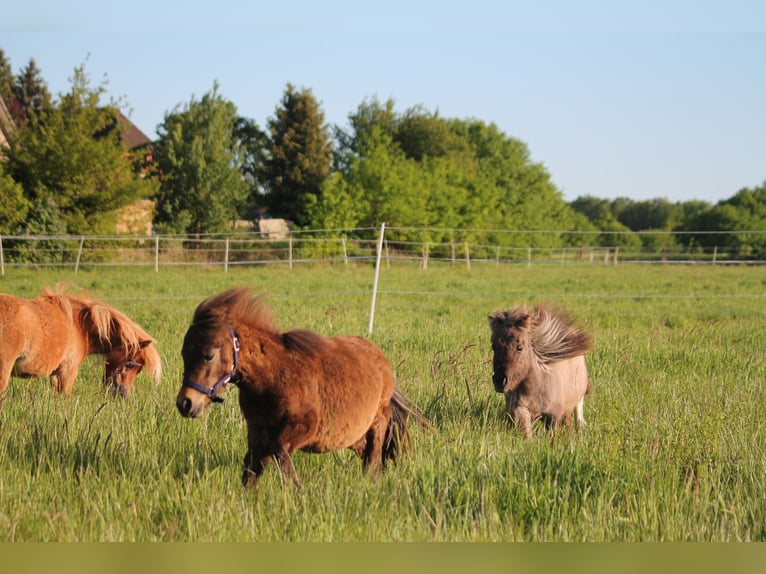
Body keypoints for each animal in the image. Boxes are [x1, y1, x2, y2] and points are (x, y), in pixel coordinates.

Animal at [176, 290, 426, 488]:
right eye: (184, 354)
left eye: (208, 355)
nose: (185, 403)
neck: (272, 379)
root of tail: (380, 357)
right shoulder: (258, 432)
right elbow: (251, 470)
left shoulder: (303, 429)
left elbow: (279, 453)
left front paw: (298, 493)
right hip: (348, 433)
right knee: (364, 451)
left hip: (377, 422)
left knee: (373, 459)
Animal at [492, 306, 592, 440]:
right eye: (493, 347)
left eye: (519, 348)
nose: (499, 381)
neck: (537, 387)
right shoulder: (520, 411)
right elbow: (526, 433)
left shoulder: (553, 416)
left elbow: (552, 435)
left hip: (578, 399)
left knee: (578, 418)